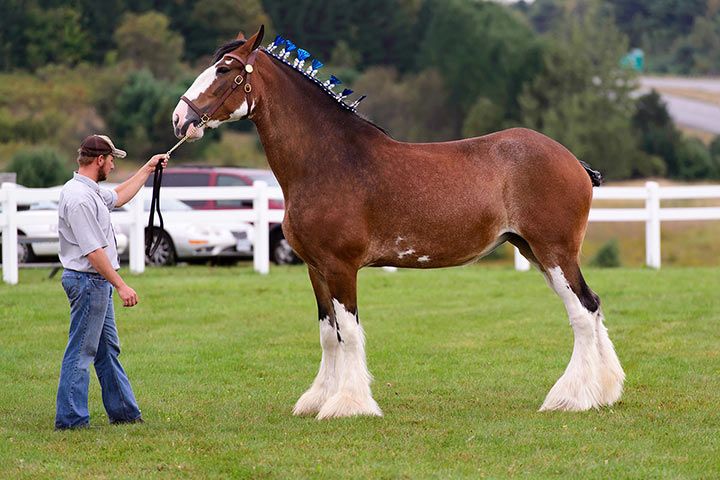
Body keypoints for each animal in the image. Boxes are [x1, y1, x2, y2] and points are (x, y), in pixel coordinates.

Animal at [170, 26, 624, 418]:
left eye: (224, 69)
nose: (179, 119)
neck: (326, 162)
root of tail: (574, 161)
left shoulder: (341, 267)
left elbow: (349, 332)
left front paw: (349, 404)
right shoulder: (315, 268)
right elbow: (327, 333)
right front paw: (318, 398)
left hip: (554, 252)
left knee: (581, 312)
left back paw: (571, 398)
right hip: (534, 251)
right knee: (592, 305)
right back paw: (603, 391)